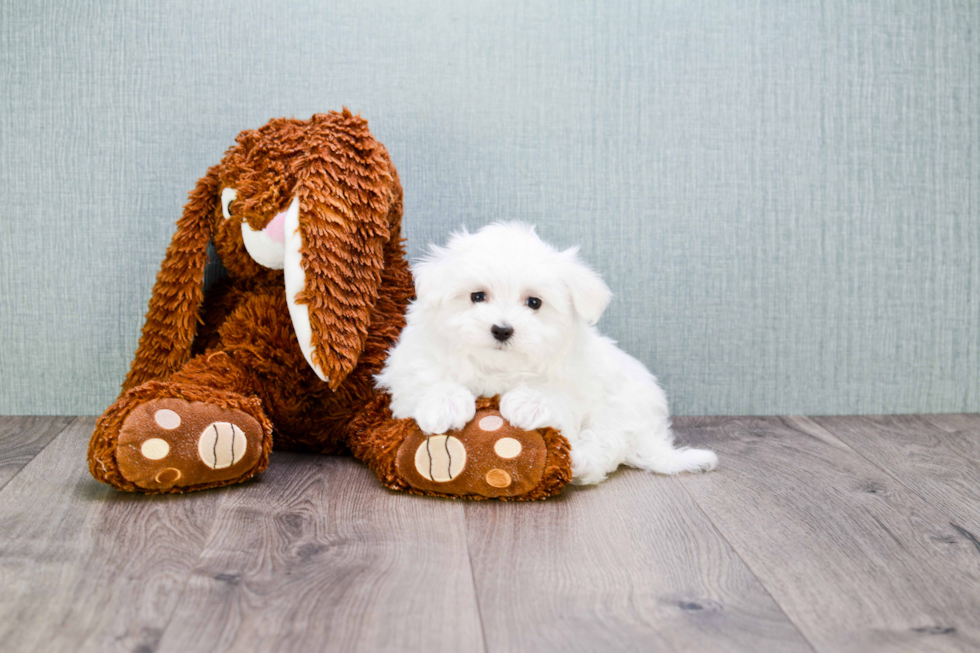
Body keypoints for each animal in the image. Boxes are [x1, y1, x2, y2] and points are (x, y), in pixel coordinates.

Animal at [376, 224, 720, 484]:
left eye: (534, 303)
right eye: (477, 296)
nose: (502, 329)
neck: (497, 367)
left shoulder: (577, 379)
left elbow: (556, 393)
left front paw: (529, 402)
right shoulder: (410, 369)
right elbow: (428, 380)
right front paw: (444, 403)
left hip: (621, 410)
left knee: (606, 444)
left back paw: (577, 462)